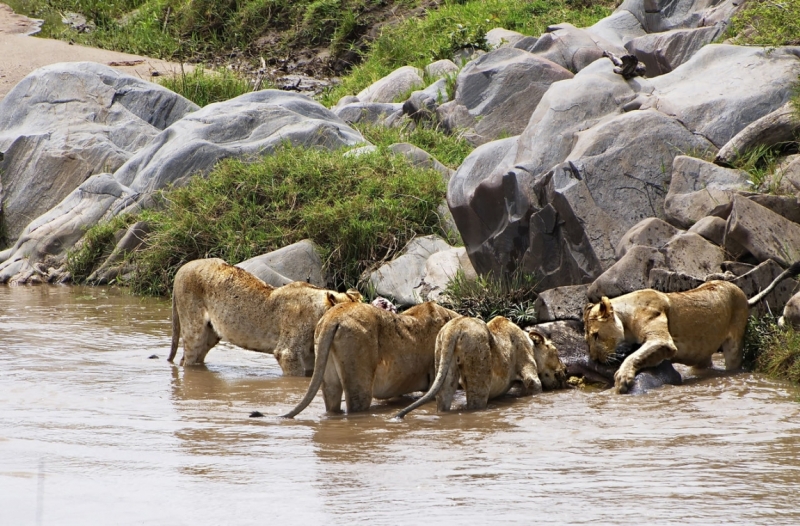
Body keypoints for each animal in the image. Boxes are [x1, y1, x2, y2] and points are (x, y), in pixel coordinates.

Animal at [170, 258, 360, 376]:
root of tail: (181, 268)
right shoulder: (287, 353)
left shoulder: (309, 355)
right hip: (194, 330)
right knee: (188, 359)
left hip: (210, 335)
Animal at [394, 318, 568, 420]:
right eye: (556, 352)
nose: (565, 370)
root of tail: (454, 327)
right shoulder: (528, 368)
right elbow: (534, 384)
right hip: (479, 371)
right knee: (475, 404)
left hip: (444, 363)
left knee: (443, 400)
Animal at [580, 262, 800, 394]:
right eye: (587, 340)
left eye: (596, 335)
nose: (594, 360)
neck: (626, 314)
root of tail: (743, 294)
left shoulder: (663, 340)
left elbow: (633, 356)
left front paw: (622, 379)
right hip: (702, 353)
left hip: (734, 345)